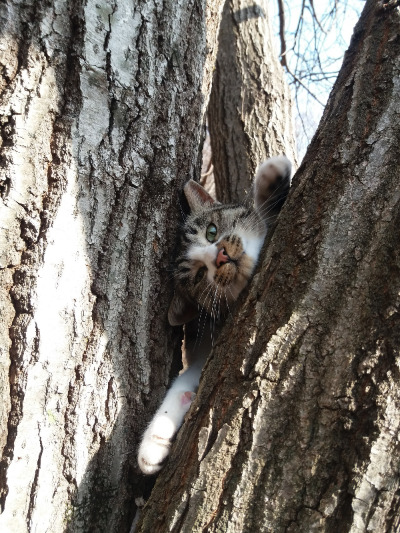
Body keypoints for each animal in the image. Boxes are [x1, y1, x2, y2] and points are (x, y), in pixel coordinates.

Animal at [138, 155, 292, 475]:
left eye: (211, 231)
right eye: (199, 275)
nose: (220, 256)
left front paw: (272, 178)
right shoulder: (207, 343)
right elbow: (185, 380)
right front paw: (154, 441)